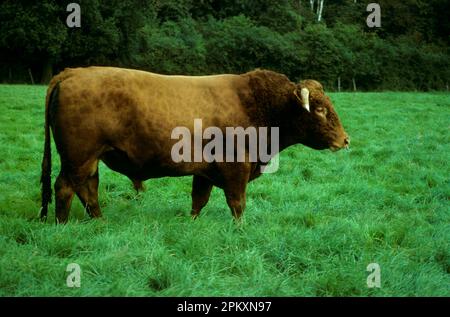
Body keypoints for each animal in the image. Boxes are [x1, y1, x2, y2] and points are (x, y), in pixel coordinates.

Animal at [40, 66, 350, 222]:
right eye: (320, 109)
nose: (345, 140)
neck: (257, 103)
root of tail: (72, 72)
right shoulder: (236, 168)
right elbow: (238, 204)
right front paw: (240, 230)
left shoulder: (205, 172)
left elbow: (198, 201)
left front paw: (191, 225)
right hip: (79, 158)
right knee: (65, 188)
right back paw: (63, 224)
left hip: (89, 160)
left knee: (88, 189)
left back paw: (99, 221)